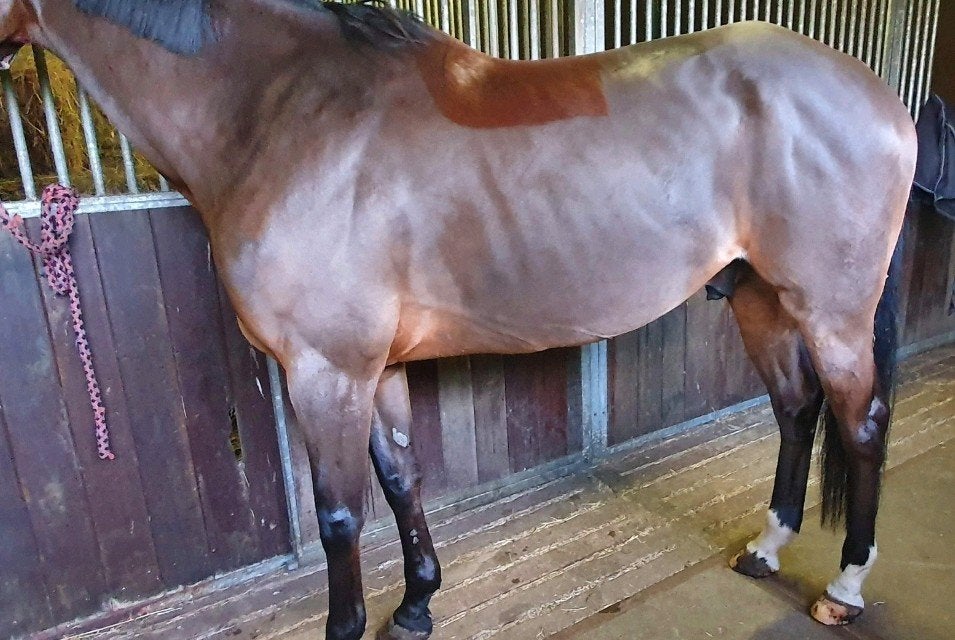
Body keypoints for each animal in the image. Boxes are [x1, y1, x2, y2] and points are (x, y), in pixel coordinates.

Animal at [0, 2, 917, 639]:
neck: (279, 112)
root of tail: (882, 100)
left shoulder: (324, 371)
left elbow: (339, 515)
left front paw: (350, 624)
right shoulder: (376, 368)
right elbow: (402, 477)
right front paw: (415, 605)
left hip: (833, 314)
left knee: (861, 426)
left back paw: (843, 588)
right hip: (760, 302)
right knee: (795, 412)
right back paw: (765, 550)